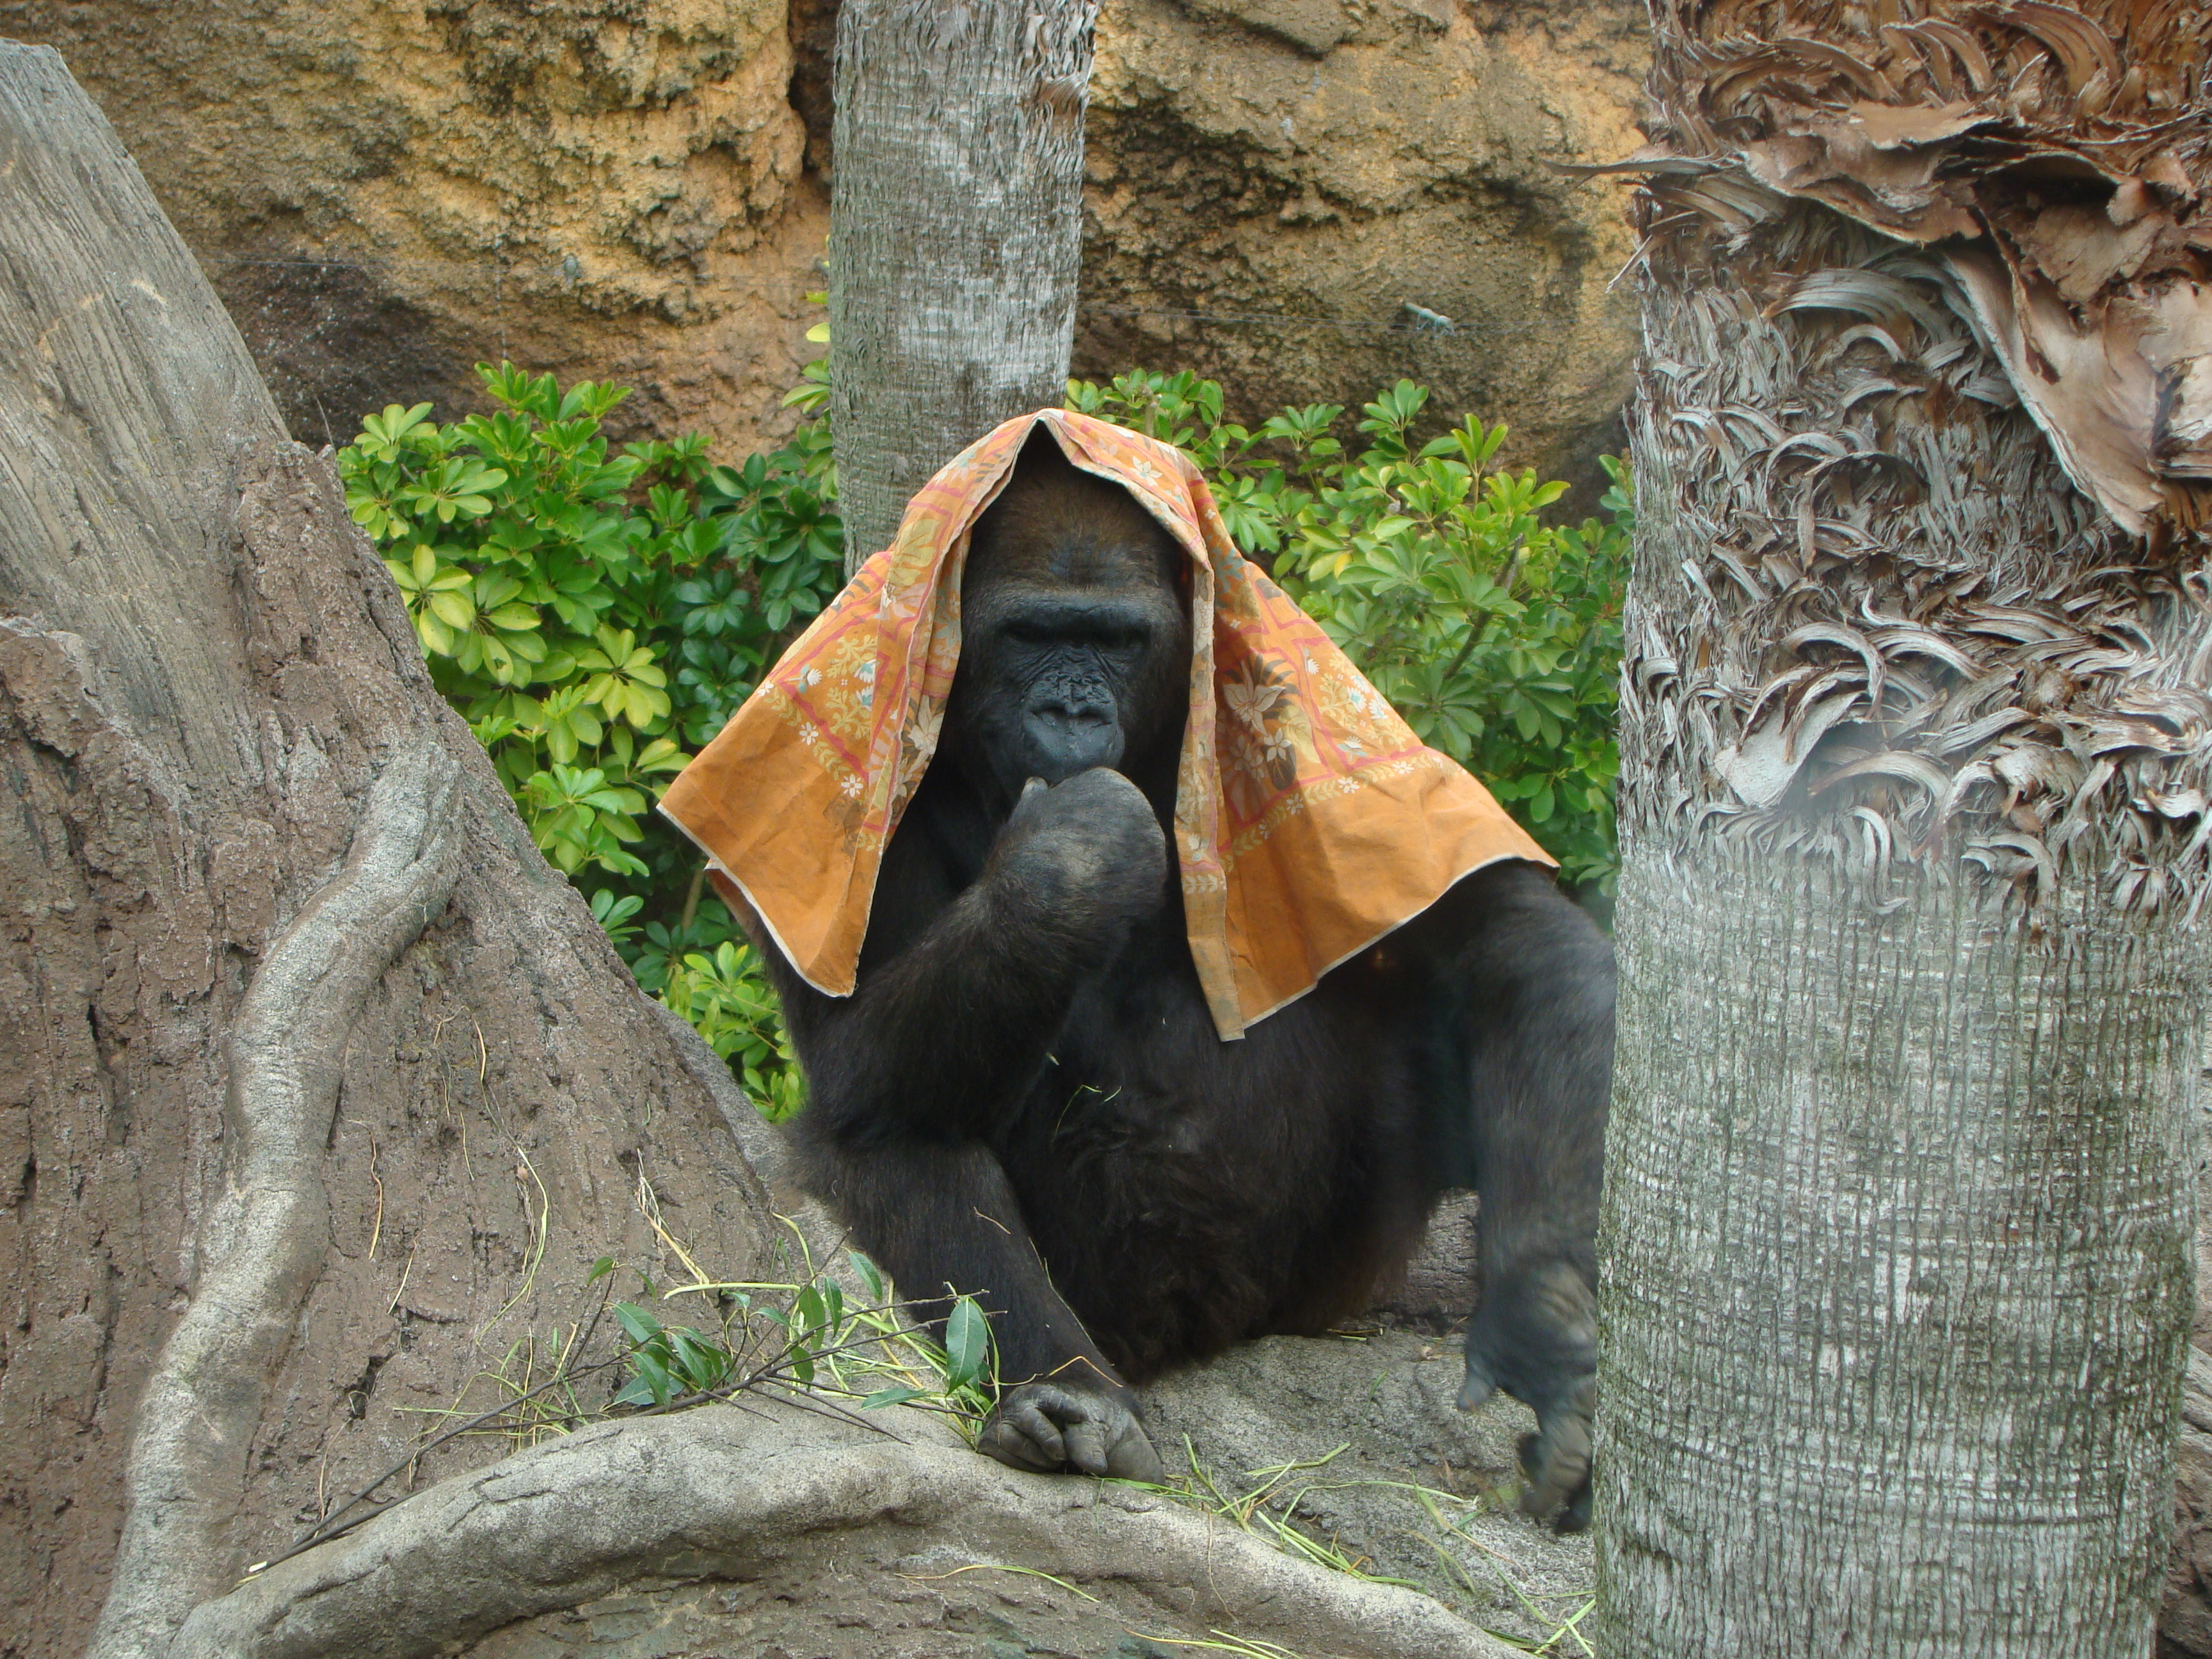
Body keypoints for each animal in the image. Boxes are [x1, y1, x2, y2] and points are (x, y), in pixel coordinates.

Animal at [756, 431, 1610, 1530]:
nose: (1072, 707)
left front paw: (1541, 1318)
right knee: (888, 1131)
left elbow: (1507, 934)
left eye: (1116, 640)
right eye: (1032, 633)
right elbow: (856, 1063)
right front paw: (1071, 866)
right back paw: (1071, 1397)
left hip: (1319, 1284)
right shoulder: (869, 759)